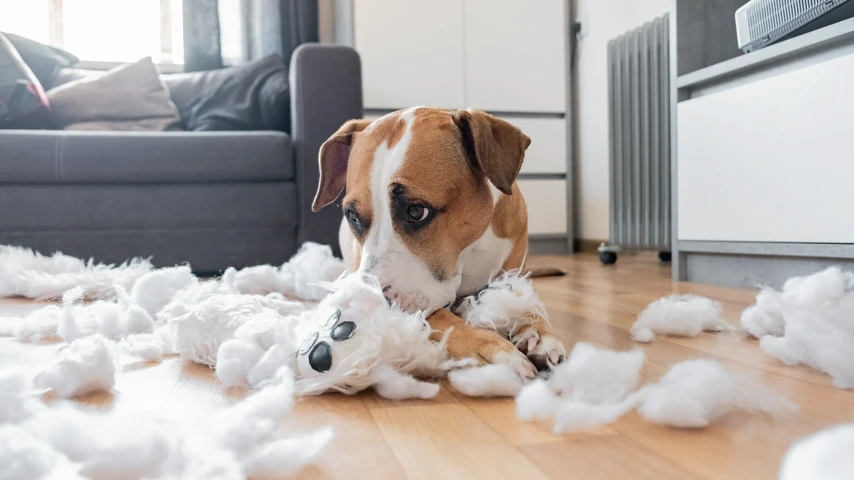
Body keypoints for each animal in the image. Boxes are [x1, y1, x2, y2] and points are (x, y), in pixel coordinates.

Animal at [314, 107, 568, 376]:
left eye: (417, 211)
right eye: (353, 216)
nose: (368, 305)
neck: (468, 253)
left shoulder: (513, 273)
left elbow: (524, 300)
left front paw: (538, 332)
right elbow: (440, 318)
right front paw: (488, 346)